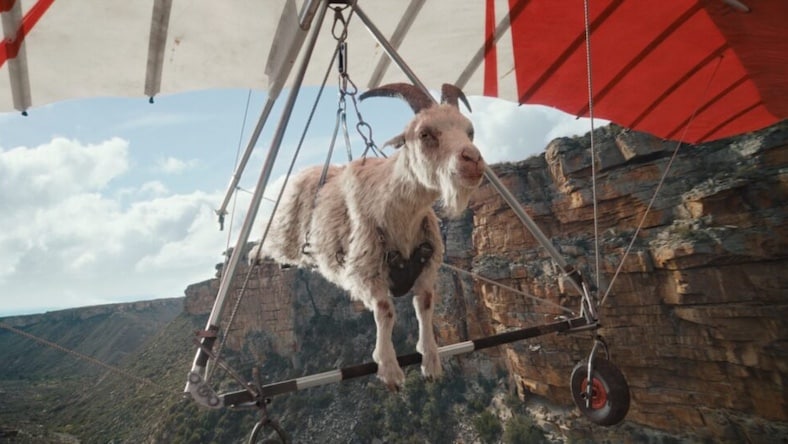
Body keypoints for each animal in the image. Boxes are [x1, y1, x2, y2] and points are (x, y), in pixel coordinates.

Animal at [249, 83, 486, 389]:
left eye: (470, 131)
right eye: (424, 134)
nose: (473, 160)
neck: (398, 213)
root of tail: (306, 170)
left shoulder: (426, 268)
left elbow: (424, 306)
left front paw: (431, 360)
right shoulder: (365, 271)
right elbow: (385, 310)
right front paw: (389, 369)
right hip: (286, 230)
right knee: (267, 242)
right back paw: (254, 254)